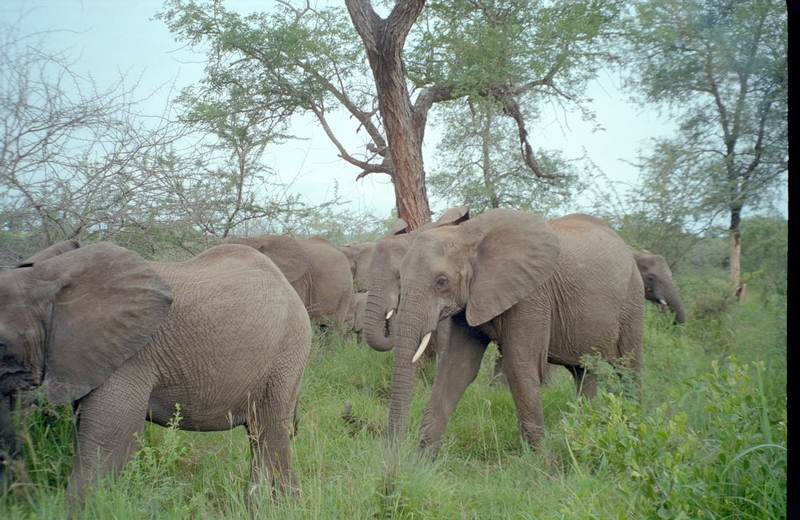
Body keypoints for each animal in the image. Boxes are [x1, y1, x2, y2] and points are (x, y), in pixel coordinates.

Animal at [0, 241, 310, 504]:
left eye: (2, 345)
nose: (21, 497)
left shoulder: (128, 357)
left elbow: (110, 443)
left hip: (285, 356)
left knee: (269, 432)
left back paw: (267, 507)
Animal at [382, 210, 644, 456]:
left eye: (441, 282)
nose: (393, 454)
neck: (468, 233)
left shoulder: (532, 295)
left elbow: (520, 366)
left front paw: (542, 463)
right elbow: (456, 368)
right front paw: (421, 462)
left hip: (632, 300)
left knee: (629, 370)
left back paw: (633, 422)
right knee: (583, 371)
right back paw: (583, 425)